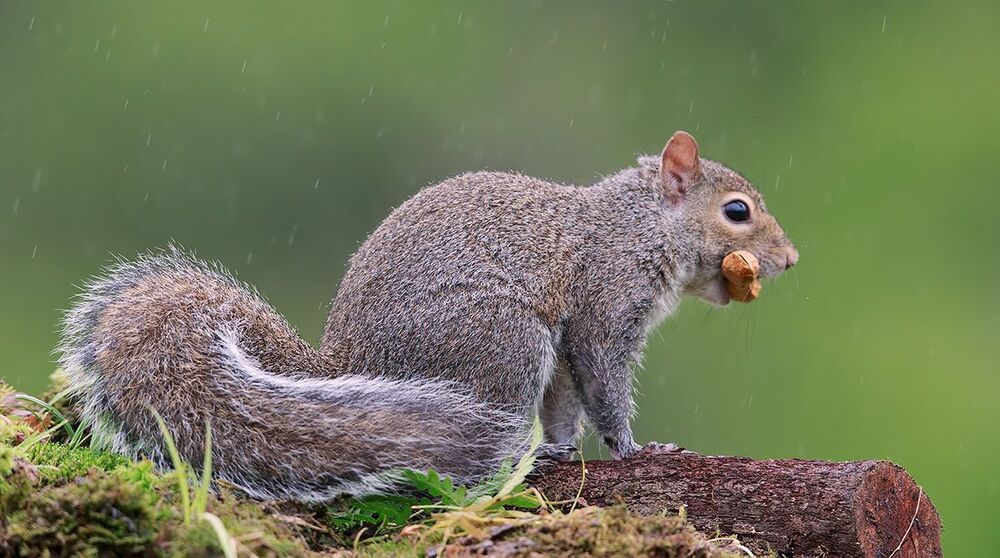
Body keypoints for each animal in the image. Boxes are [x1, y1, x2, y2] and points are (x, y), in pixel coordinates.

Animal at [59, 131, 797, 502]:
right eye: (737, 211)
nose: (791, 259)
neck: (638, 228)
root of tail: (342, 365)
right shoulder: (601, 310)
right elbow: (605, 389)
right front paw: (637, 450)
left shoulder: (564, 349)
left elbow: (565, 405)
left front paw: (568, 446)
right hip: (502, 342)